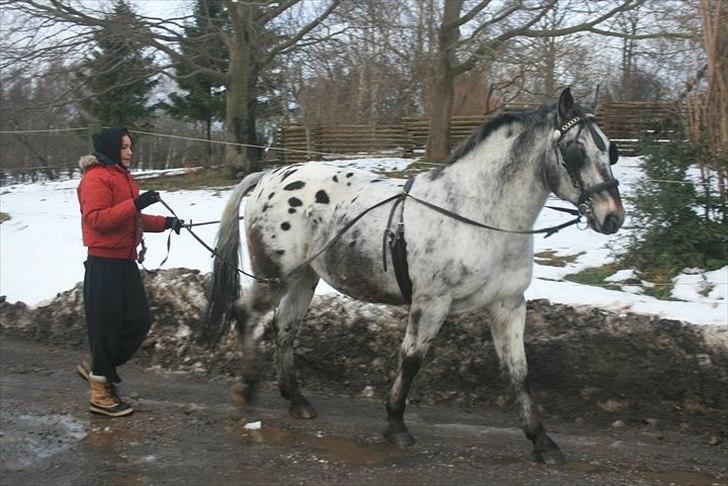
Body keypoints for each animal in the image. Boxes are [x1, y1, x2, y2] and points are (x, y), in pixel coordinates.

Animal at [202, 86, 624, 464]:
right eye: (575, 151)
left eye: (610, 150)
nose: (612, 217)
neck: (479, 213)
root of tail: (268, 176)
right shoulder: (431, 301)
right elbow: (411, 359)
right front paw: (396, 424)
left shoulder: (508, 306)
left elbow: (519, 373)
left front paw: (541, 441)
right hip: (275, 276)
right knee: (246, 314)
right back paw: (247, 387)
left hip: (304, 278)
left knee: (285, 328)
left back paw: (296, 399)